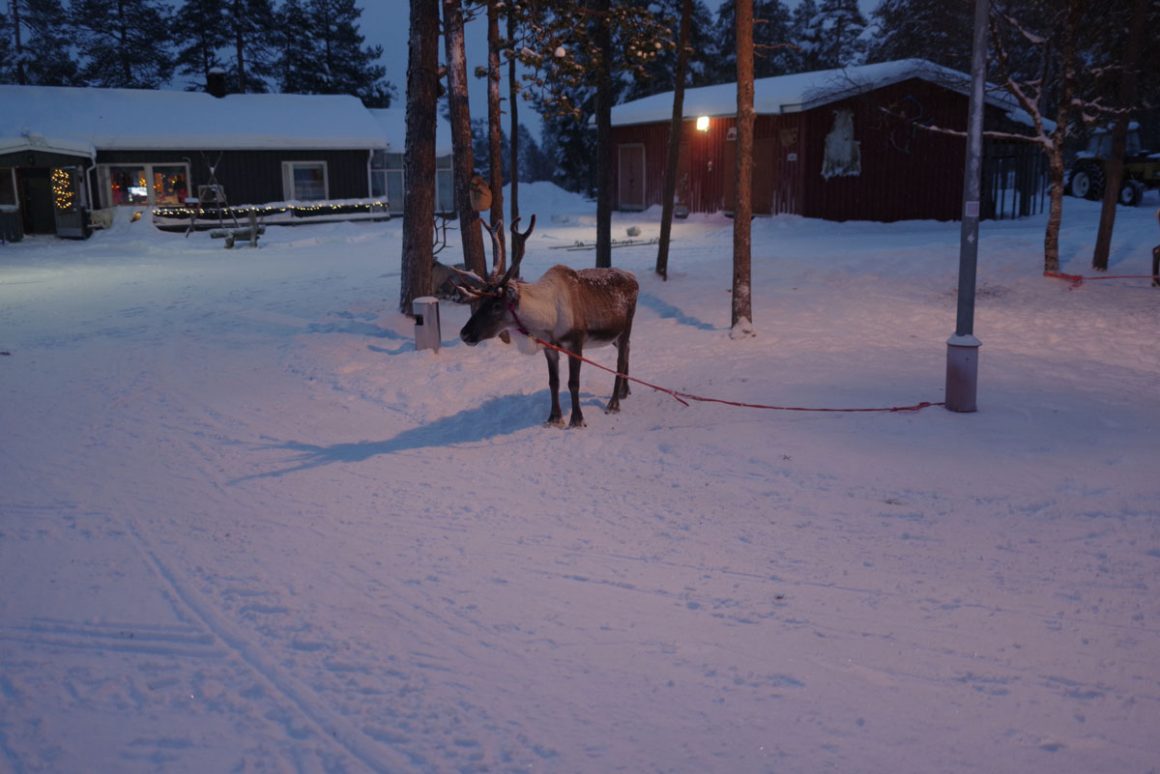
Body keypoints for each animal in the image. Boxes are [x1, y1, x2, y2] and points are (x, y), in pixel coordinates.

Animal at [456, 216, 639, 428]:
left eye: (496, 305)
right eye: (481, 302)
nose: (464, 333)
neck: (548, 319)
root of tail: (634, 279)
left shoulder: (575, 344)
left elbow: (573, 383)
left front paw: (577, 419)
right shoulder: (550, 347)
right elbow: (554, 382)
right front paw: (554, 418)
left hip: (626, 327)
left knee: (621, 359)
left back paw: (613, 403)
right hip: (614, 336)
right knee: (627, 350)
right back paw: (625, 391)